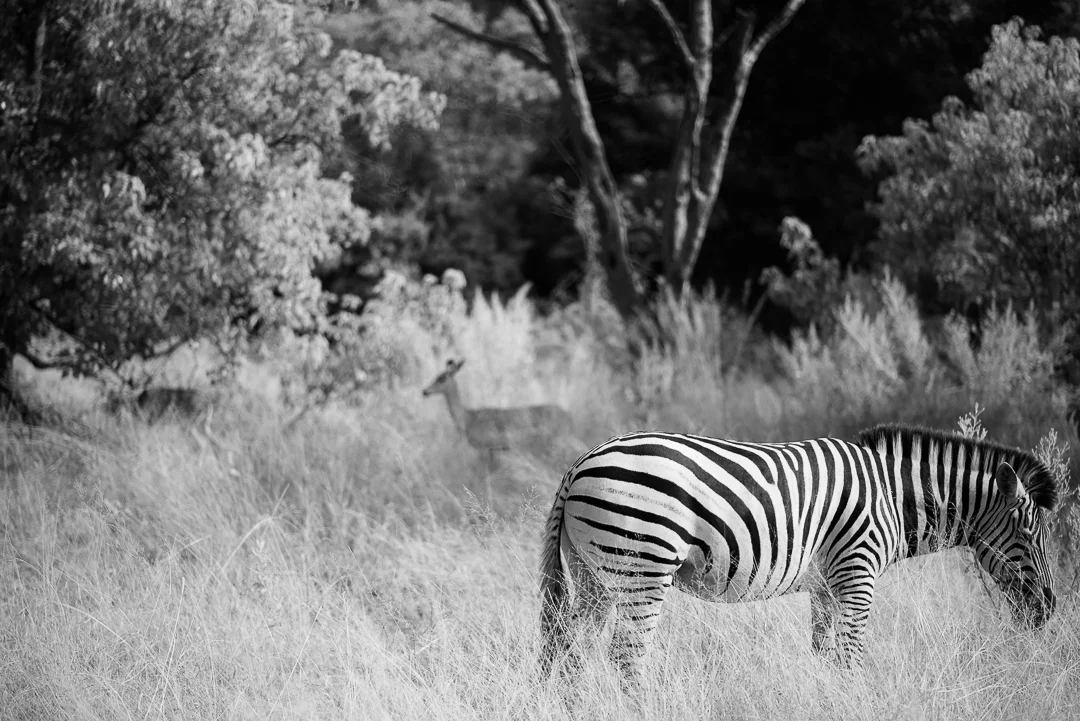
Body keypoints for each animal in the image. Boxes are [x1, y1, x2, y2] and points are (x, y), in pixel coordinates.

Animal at [539, 424, 1058, 680]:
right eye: (1028, 533)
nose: (1050, 611)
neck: (891, 496)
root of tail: (581, 461)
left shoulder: (828, 585)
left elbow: (825, 655)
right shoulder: (858, 573)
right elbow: (851, 657)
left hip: (593, 573)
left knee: (570, 647)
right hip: (640, 567)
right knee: (626, 655)